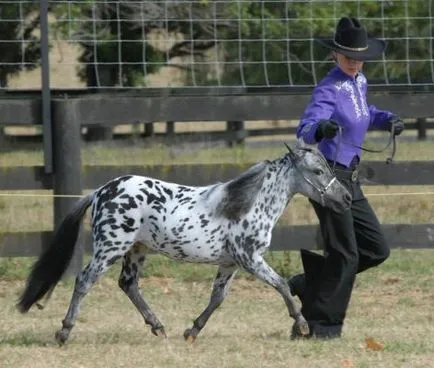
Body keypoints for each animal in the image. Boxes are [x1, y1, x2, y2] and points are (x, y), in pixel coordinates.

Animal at [17, 143, 350, 344]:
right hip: (111, 247)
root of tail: (99, 192)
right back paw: (64, 332)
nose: (346, 198)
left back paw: (158, 327)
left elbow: (217, 298)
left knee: (128, 284)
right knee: (85, 279)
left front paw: (192, 330)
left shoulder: (230, 263)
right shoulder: (250, 258)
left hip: (136, 251)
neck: (248, 204)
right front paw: (303, 325)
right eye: (318, 171)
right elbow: (281, 284)